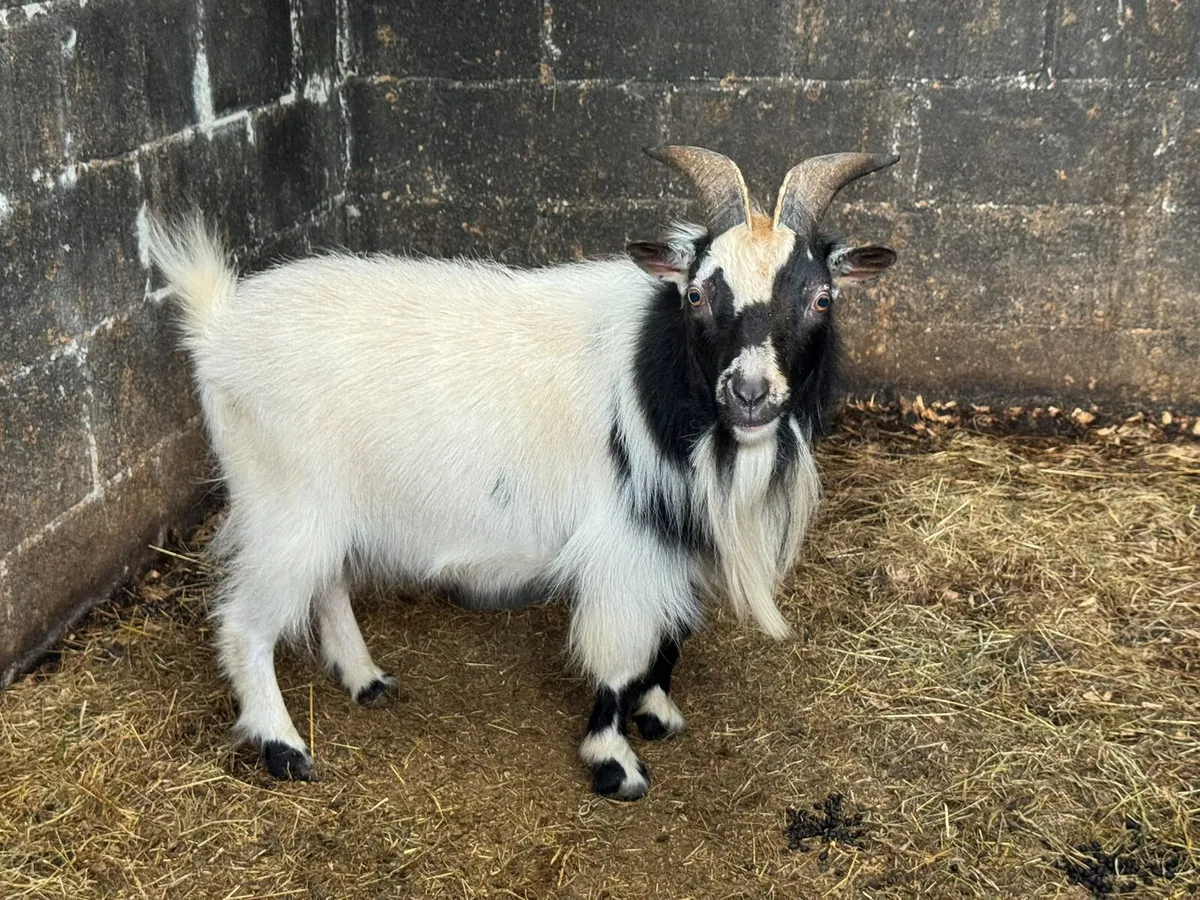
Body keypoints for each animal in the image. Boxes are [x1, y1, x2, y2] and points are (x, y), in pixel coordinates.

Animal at [148, 147, 898, 800]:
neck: (661, 380)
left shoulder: (674, 539)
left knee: (326, 583)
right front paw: (614, 763)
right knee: (245, 623)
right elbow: (621, 658)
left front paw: (657, 711)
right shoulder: (624, 543)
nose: (749, 393)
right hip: (284, 500)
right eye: (695, 295)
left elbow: (669, 640)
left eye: (822, 299)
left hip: (324, 506)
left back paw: (365, 679)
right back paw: (283, 746)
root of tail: (218, 326)